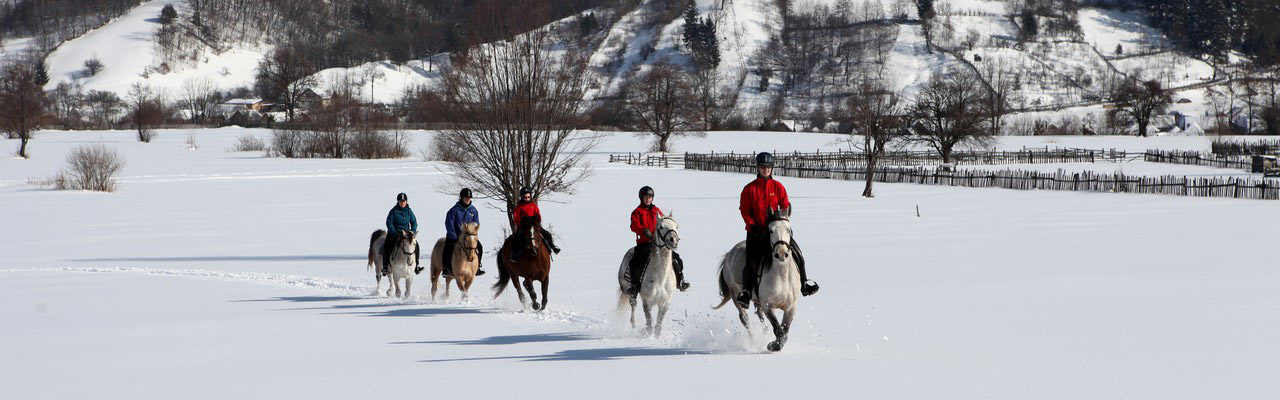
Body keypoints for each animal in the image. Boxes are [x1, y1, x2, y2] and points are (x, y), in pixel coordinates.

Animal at [711, 207, 798, 351]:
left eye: (788, 229)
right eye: (770, 230)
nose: (781, 253)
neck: (782, 275)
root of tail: (729, 254)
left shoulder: (790, 307)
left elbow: (784, 331)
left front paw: (774, 343)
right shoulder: (767, 304)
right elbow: (778, 329)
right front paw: (772, 345)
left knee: (759, 315)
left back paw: (764, 334)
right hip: (736, 295)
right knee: (744, 319)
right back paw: (752, 340)